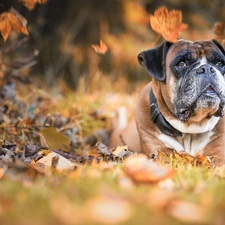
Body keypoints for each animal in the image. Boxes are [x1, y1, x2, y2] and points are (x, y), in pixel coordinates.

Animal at [110, 38, 225, 166]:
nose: (207, 69)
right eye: (181, 63)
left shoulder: (218, 155)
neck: (190, 129)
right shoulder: (160, 153)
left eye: (220, 64)